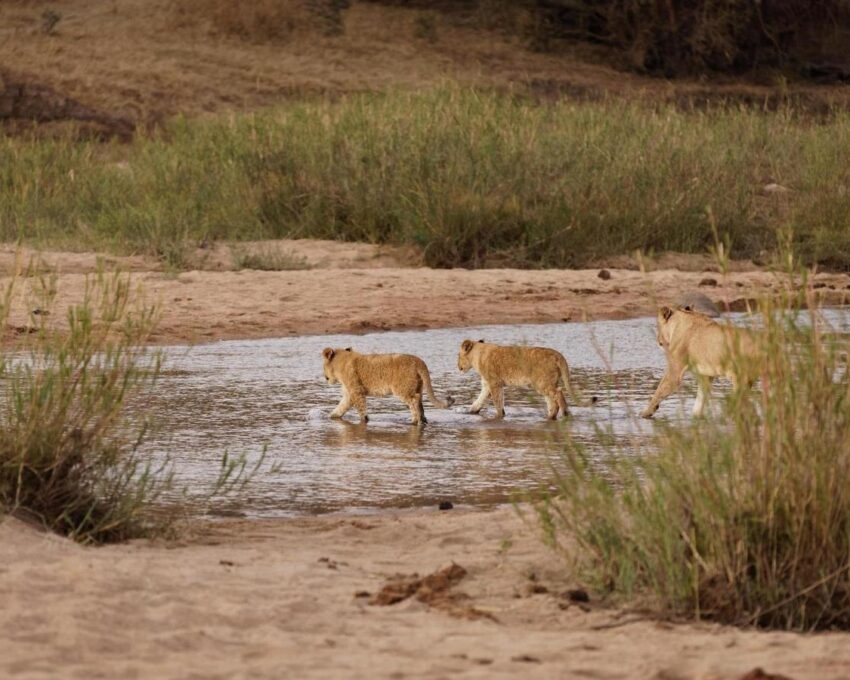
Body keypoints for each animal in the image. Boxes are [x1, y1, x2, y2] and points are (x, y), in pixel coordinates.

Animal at [321, 347, 454, 426]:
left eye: (323, 366)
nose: (325, 377)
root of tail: (419, 361)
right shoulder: (349, 394)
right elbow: (340, 407)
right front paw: (331, 416)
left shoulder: (356, 391)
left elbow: (361, 409)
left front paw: (364, 421)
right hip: (417, 386)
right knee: (420, 401)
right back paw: (423, 420)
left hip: (402, 388)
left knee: (414, 400)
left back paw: (415, 421)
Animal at [456, 339, 595, 420]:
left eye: (458, 355)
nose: (458, 367)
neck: (478, 355)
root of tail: (558, 355)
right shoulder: (488, 384)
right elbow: (480, 400)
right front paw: (471, 411)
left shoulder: (494, 383)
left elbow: (497, 402)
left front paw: (498, 417)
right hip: (545, 383)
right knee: (552, 401)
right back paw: (551, 416)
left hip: (541, 383)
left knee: (558, 394)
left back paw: (563, 415)